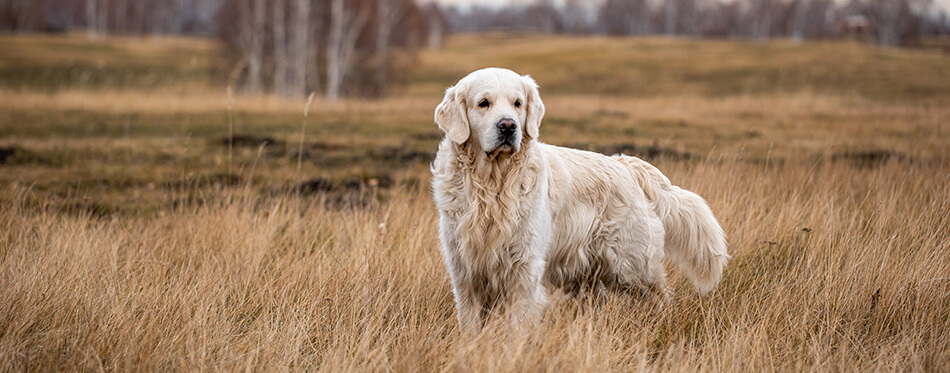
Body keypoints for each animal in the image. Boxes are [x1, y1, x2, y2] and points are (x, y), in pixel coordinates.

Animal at [430, 67, 728, 332]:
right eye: (483, 103)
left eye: (518, 103)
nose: (508, 126)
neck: (492, 187)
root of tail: (625, 165)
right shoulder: (465, 274)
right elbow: (470, 328)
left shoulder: (525, 270)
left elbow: (518, 327)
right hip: (585, 274)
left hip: (632, 267)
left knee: (660, 295)